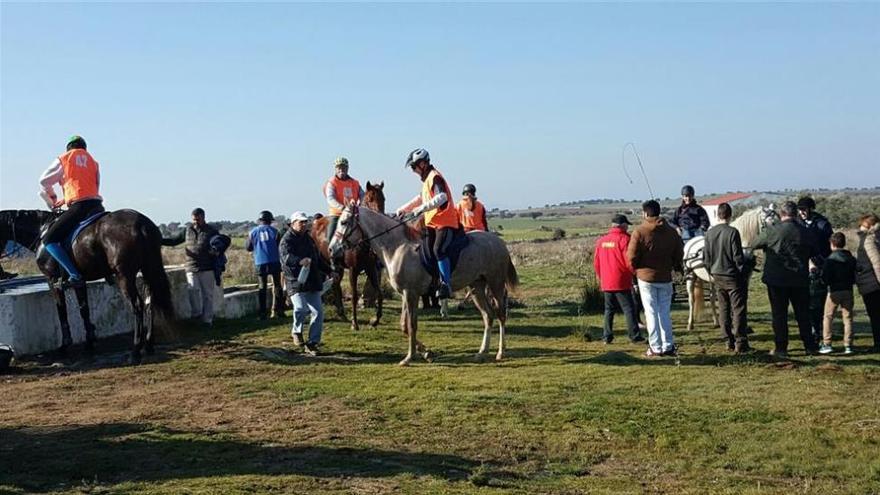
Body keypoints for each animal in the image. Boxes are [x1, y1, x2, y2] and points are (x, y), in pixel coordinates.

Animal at [0, 208, 175, 364]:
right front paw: (89, 343)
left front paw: (65, 346)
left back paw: (135, 351)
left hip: (125, 275)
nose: (4, 272)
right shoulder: (79, 281)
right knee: (149, 303)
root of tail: (141, 223)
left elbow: (62, 312)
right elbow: (84, 310)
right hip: (148, 270)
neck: (41, 230)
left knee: (137, 306)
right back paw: (149, 345)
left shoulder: (52, 281)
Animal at [312, 181, 388, 330]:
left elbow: (380, 293)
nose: (379, 221)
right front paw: (355, 323)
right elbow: (353, 296)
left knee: (336, 285)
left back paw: (342, 313)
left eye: (383, 199)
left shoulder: (371, 269)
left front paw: (375, 320)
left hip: (339, 269)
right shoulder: (353, 270)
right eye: (370, 199)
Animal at [332, 204, 524, 364]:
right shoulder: (406, 294)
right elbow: (404, 326)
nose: (333, 249)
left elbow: (412, 325)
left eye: (344, 222)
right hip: (477, 287)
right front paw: (426, 353)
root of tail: (498, 241)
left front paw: (409, 357)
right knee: (488, 316)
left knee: (501, 315)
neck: (397, 247)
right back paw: (482, 352)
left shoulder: (411, 293)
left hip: (496, 283)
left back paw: (500, 352)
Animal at [684, 205, 780, 334]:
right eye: (773, 222)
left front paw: (744, 325)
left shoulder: (745, 279)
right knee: (691, 299)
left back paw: (716, 322)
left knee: (712, 298)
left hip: (711, 280)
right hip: (690, 277)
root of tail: (691, 241)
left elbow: (742, 300)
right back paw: (690, 324)